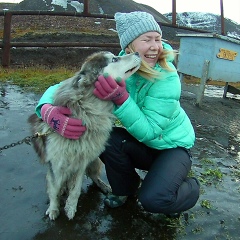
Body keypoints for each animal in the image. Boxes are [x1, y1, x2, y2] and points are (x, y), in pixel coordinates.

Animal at [27, 51, 141, 220]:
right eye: (114, 59)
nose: (138, 52)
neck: (87, 110)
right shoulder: (56, 165)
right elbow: (54, 190)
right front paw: (54, 208)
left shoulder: (82, 161)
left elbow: (75, 190)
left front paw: (70, 208)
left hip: (95, 160)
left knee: (93, 176)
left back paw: (104, 186)